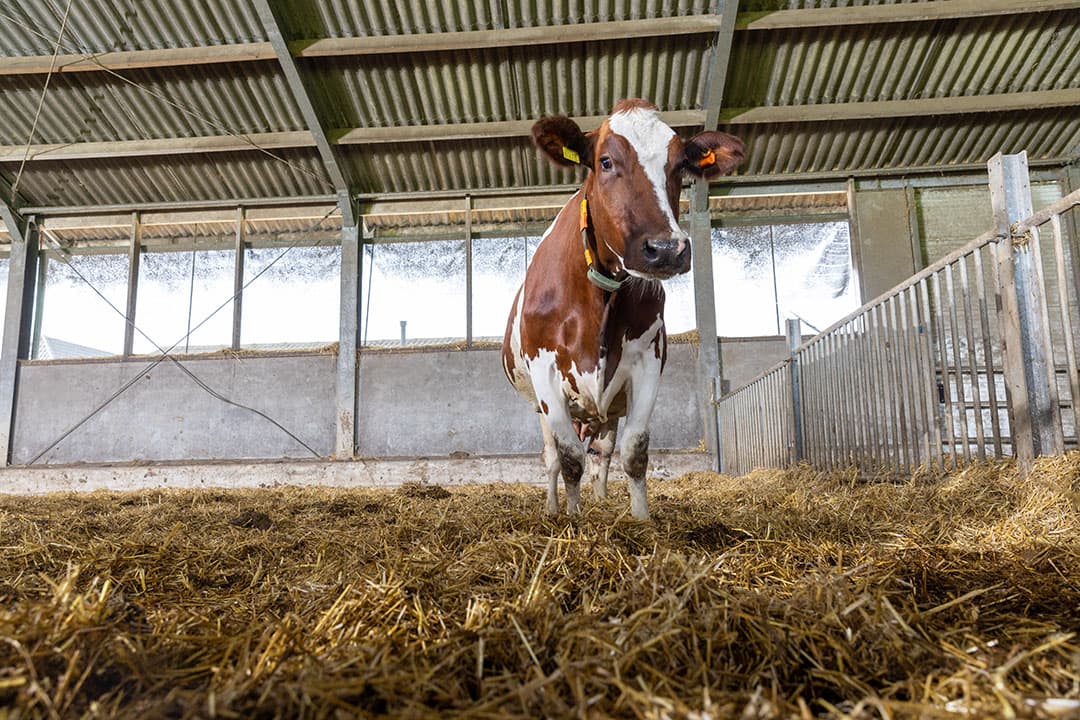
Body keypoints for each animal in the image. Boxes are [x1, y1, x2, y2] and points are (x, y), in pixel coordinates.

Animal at [502, 99, 745, 520]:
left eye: (680, 164)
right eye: (605, 161)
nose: (666, 249)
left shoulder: (647, 362)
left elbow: (634, 452)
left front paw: (641, 518)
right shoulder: (545, 370)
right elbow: (569, 458)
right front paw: (573, 517)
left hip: (608, 410)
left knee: (602, 454)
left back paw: (600, 500)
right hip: (542, 405)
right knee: (553, 458)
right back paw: (552, 508)